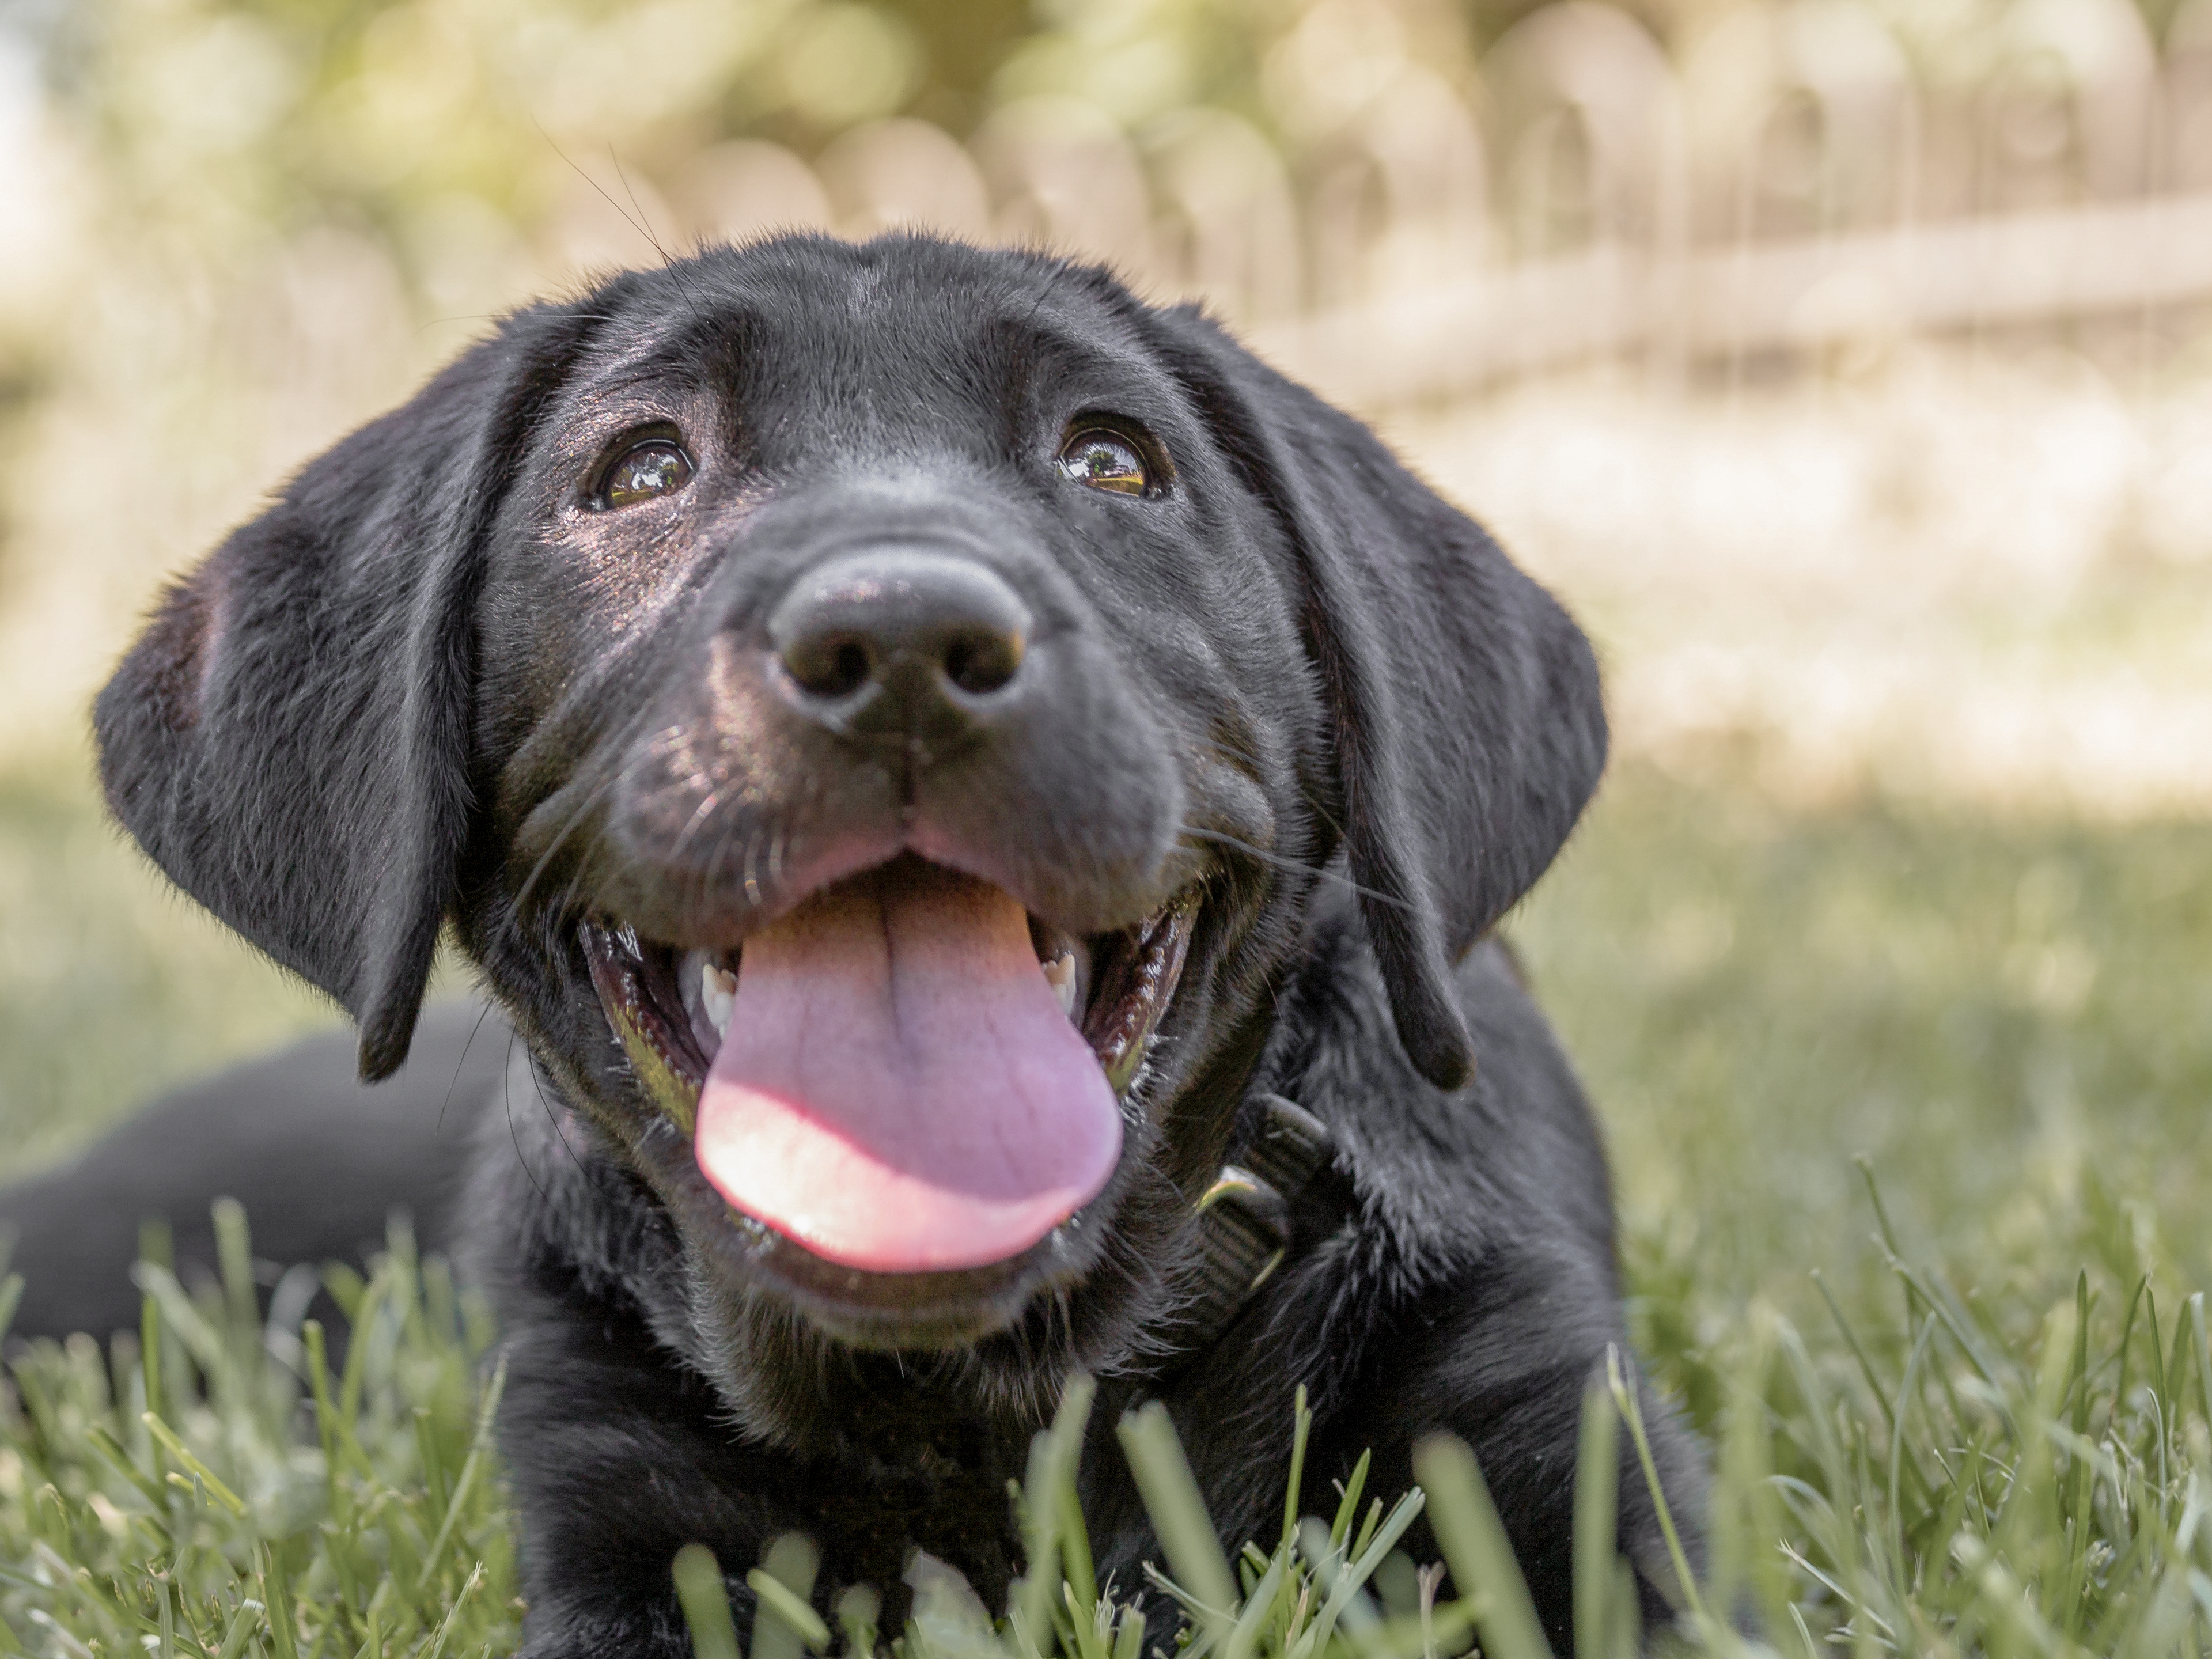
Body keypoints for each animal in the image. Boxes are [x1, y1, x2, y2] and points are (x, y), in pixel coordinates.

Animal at [17, 236, 1699, 1659]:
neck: (965, 1405)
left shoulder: (1555, 1442)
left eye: (1115, 459)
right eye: (638, 469)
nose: (898, 642)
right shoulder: (617, 1507)